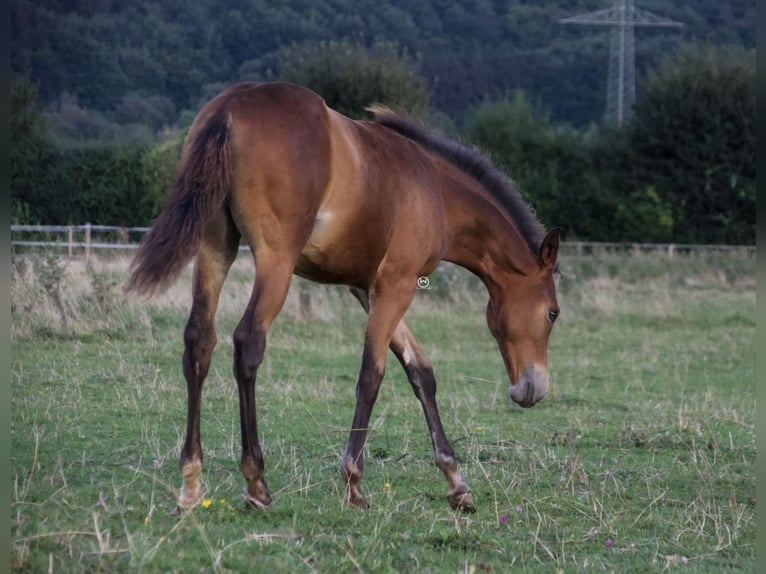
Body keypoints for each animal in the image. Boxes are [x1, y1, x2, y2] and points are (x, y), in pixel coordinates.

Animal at [127, 80, 564, 512]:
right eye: (553, 313)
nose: (532, 390)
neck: (436, 190)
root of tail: (229, 110)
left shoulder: (368, 289)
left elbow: (420, 372)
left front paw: (457, 484)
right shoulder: (397, 285)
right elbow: (372, 375)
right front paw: (354, 483)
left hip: (215, 246)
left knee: (199, 340)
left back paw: (191, 484)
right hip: (275, 260)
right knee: (248, 341)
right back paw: (256, 483)